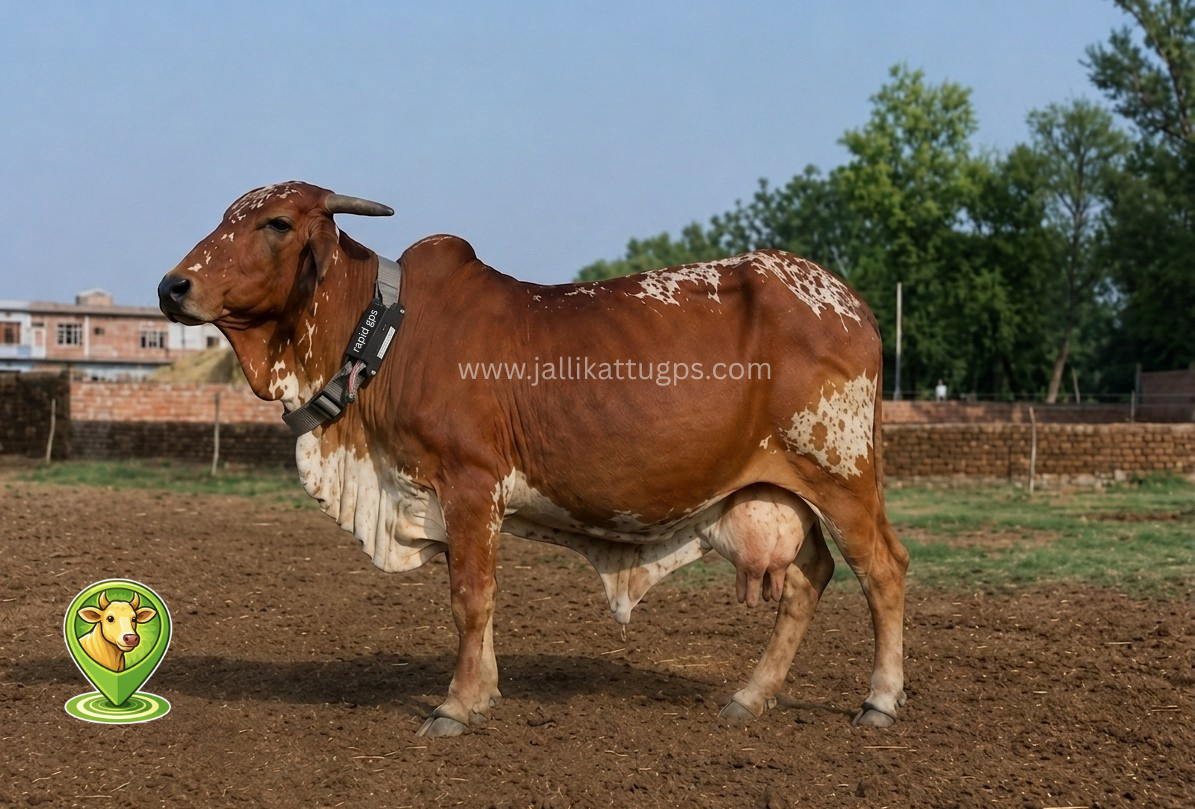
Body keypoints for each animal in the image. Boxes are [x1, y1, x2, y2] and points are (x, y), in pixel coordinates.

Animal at [157, 181, 909, 738]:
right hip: (783, 488)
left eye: (277, 222)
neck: (384, 335)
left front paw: (455, 705)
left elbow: (470, 597)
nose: (172, 286)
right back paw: (750, 696)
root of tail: (851, 303)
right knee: (809, 576)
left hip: (840, 472)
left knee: (881, 570)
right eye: (226, 216)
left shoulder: (468, 483)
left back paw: (878, 701)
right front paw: (484, 691)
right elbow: (478, 600)